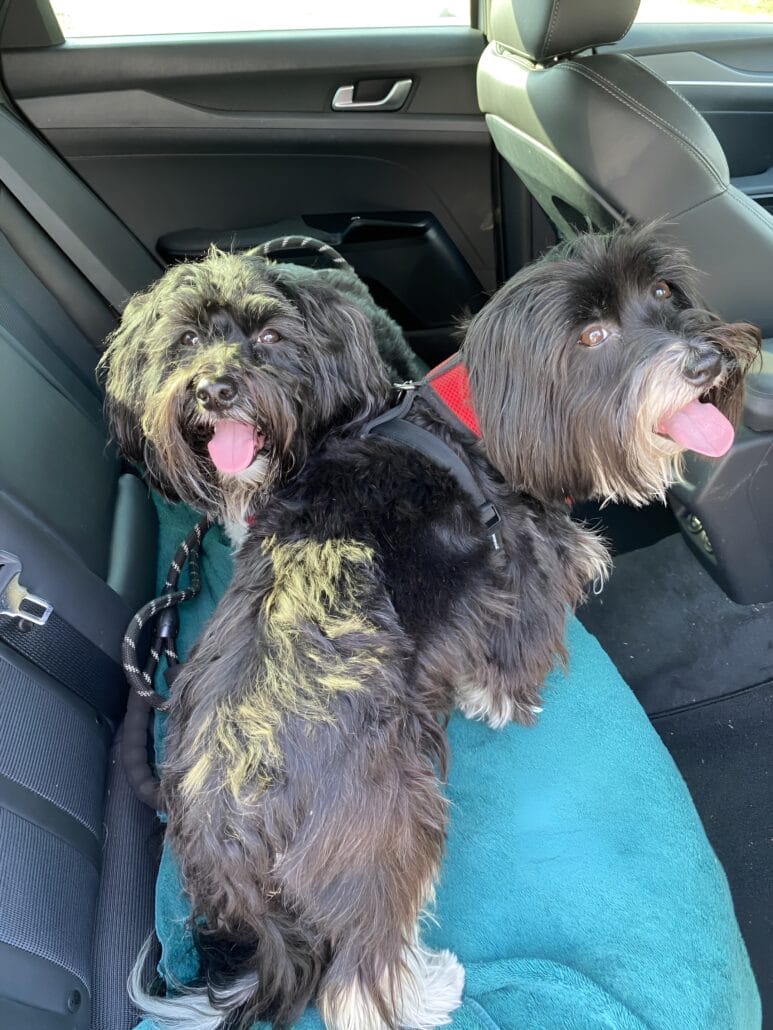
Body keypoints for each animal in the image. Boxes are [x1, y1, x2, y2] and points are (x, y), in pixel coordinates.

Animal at [98, 227, 762, 1030]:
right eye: (592, 336)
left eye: (661, 292)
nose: (707, 361)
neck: (479, 416)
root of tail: (224, 815)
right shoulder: (523, 571)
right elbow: (514, 646)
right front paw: (502, 700)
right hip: (383, 818)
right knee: (358, 978)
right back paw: (427, 991)